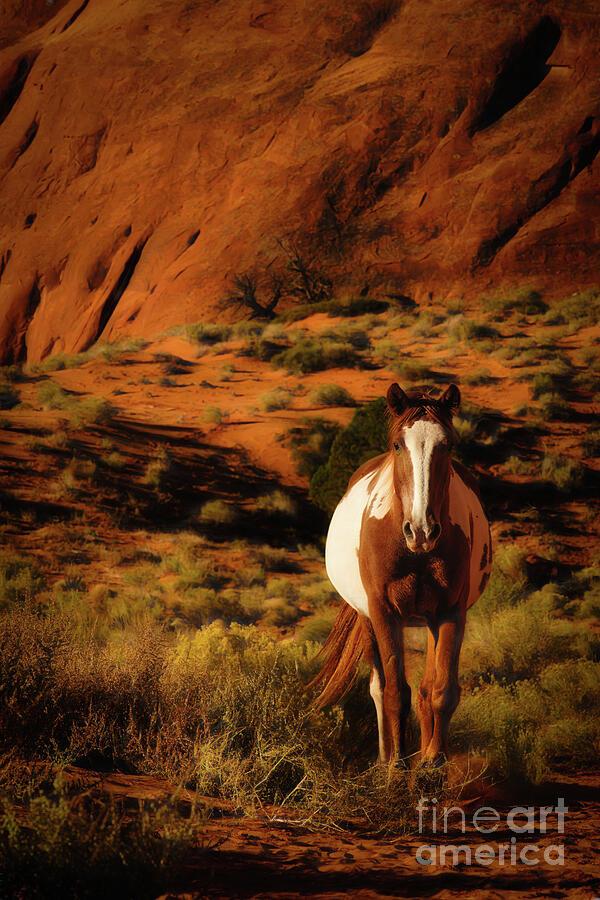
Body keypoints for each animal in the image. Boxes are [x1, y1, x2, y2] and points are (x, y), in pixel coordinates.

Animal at [309, 382, 492, 767]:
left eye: (447, 443)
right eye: (397, 444)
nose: (421, 529)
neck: (415, 552)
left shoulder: (450, 612)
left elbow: (441, 692)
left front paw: (432, 762)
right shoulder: (384, 613)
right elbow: (394, 692)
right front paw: (396, 765)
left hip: (429, 620)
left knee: (425, 689)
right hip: (367, 620)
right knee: (379, 688)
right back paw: (385, 757)